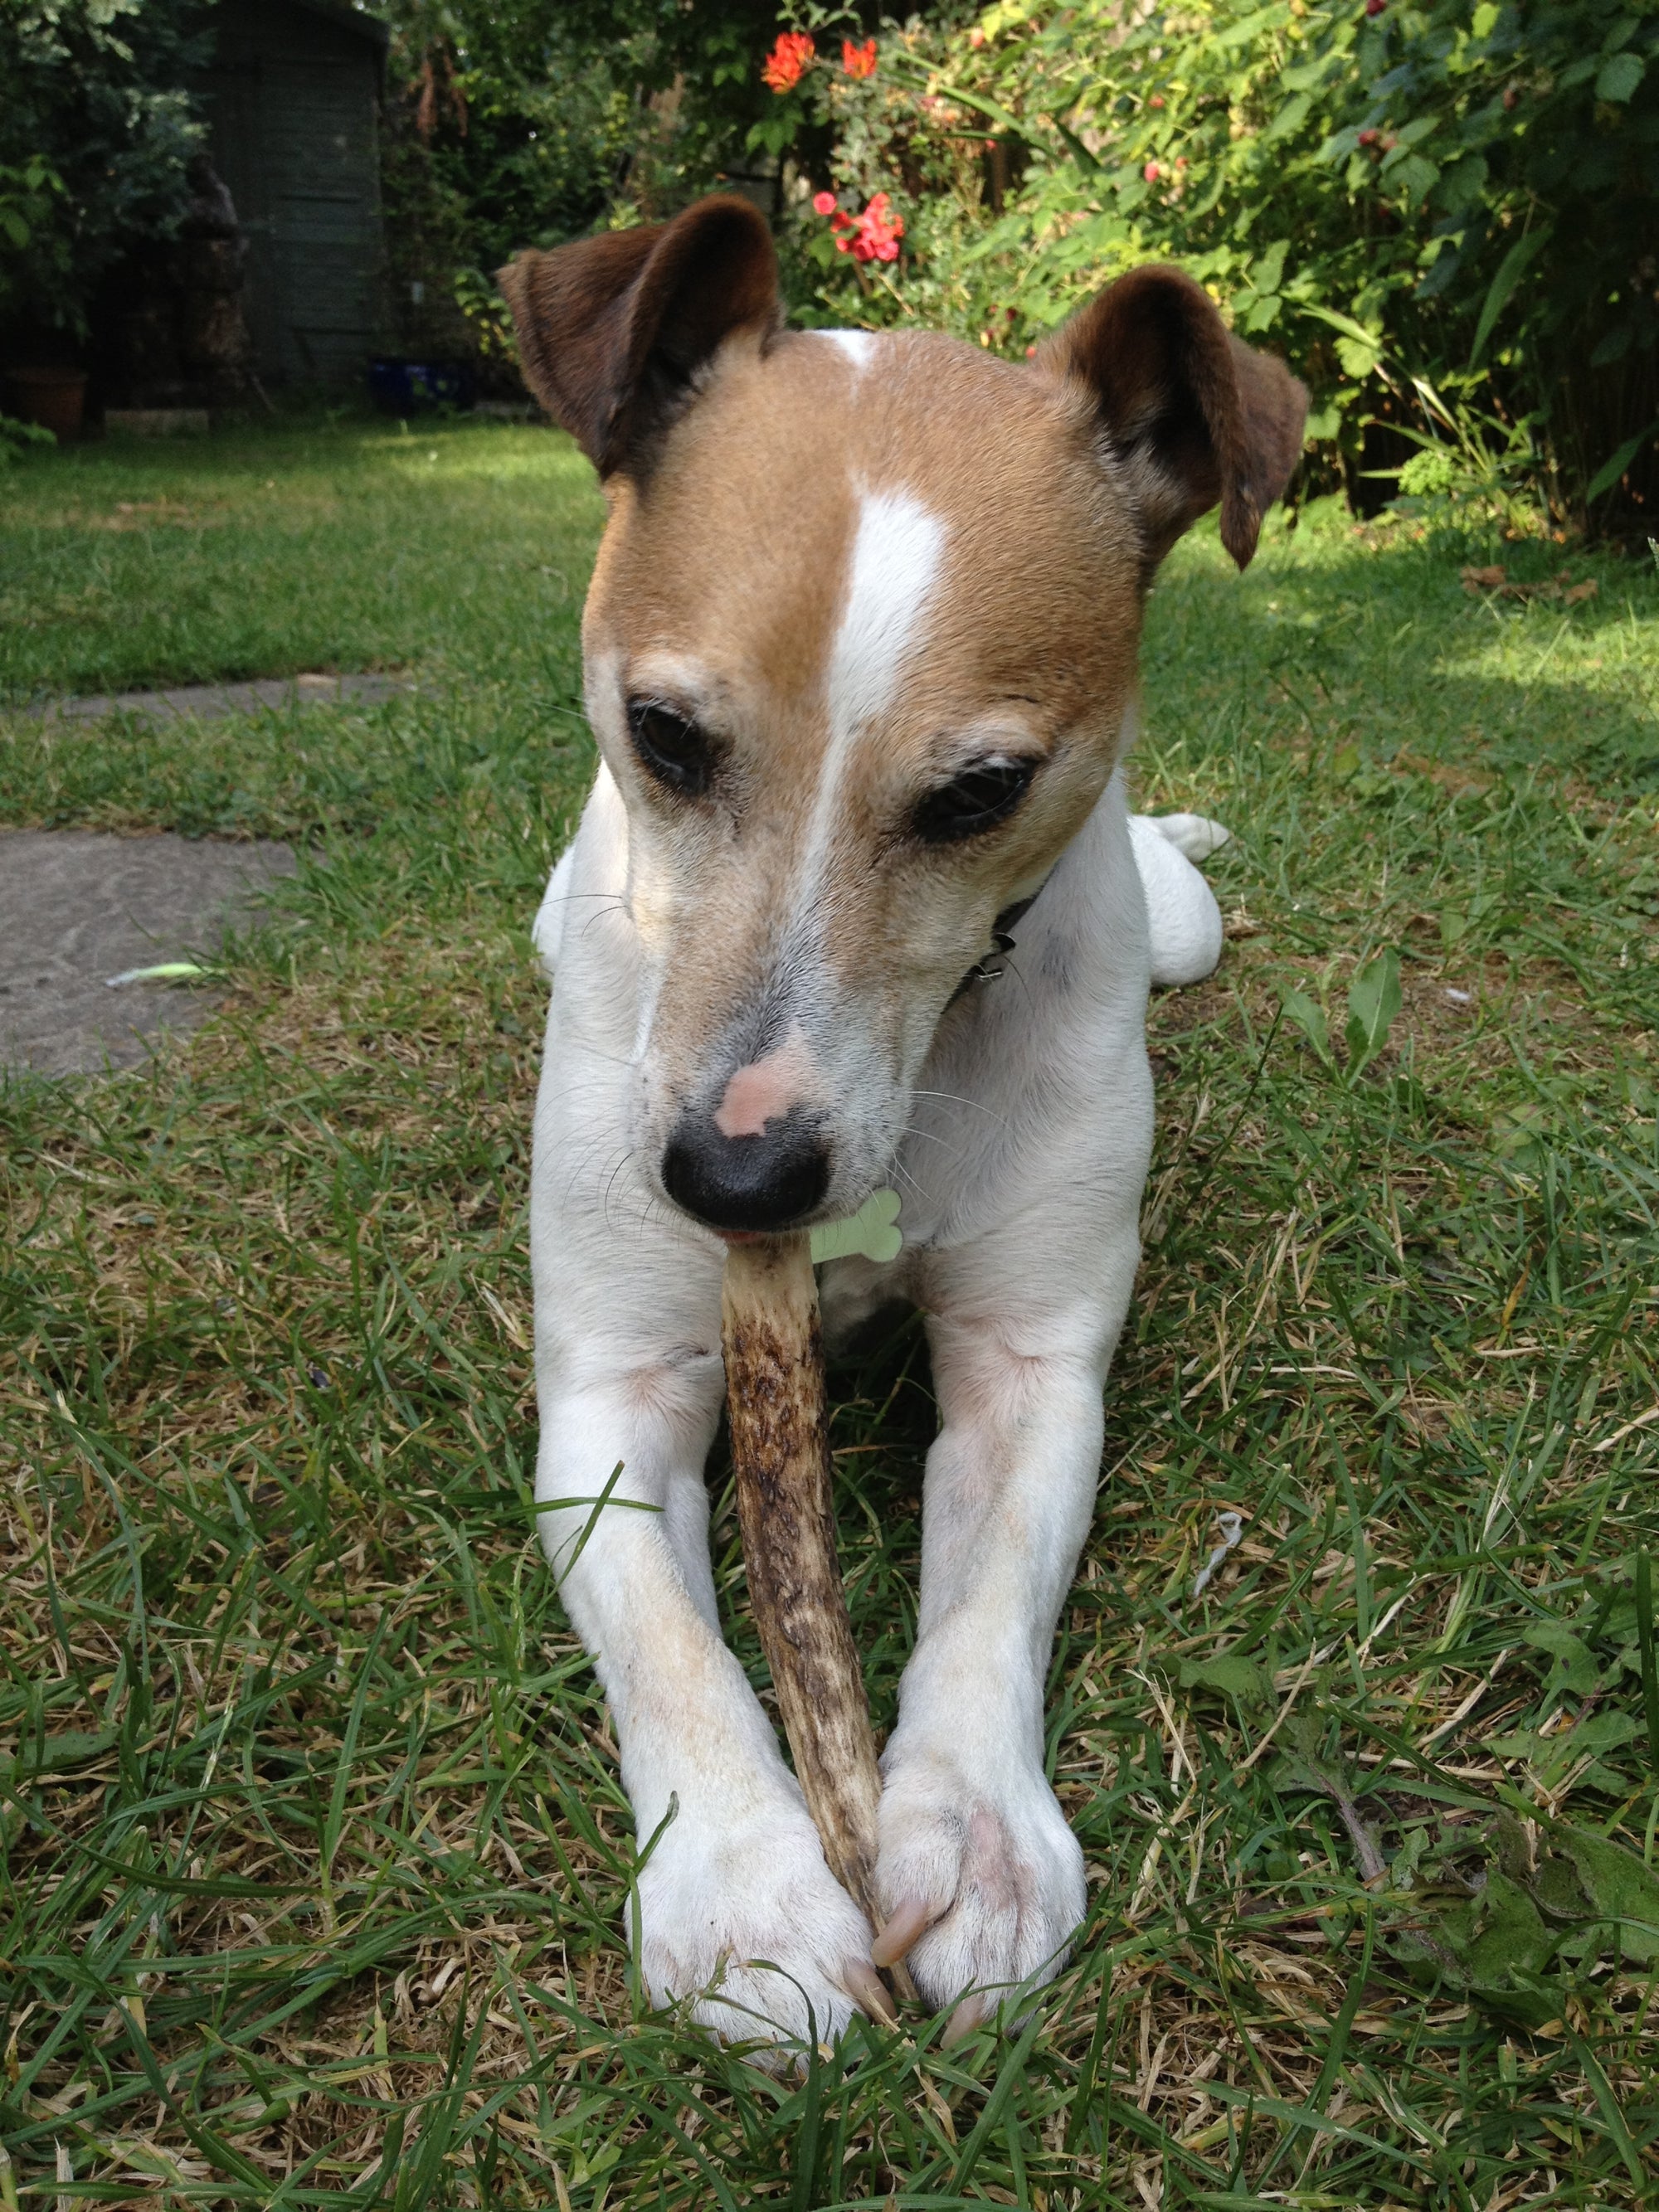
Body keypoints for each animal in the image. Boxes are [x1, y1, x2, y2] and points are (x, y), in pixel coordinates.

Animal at [498, 199, 1309, 2044]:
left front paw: (978, 1835)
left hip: (1175, 930)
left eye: (980, 790)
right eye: (664, 734)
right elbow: (668, 1636)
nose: (735, 1176)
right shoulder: (611, 1390)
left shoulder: (1030, 1361)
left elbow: (992, 1592)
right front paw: (741, 1888)